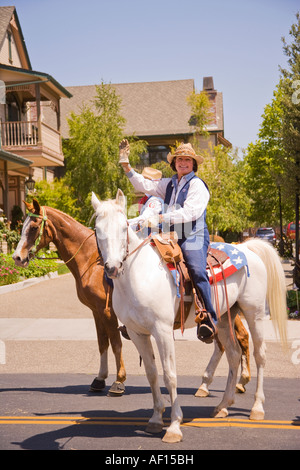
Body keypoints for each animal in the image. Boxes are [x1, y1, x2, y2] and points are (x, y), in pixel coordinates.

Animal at [12, 197, 125, 392]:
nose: (17, 257)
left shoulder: (108, 311)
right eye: (22, 225)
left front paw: (119, 381)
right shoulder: (97, 311)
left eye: (33, 227)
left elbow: (116, 343)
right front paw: (100, 378)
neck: (92, 260)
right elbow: (102, 342)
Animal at [92, 189, 288, 442]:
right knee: (233, 354)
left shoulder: (163, 331)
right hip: (223, 318)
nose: (113, 268)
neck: (137, 275)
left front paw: (174, 426)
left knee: (260, 355)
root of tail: (247, 248)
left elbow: (170, 375)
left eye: (124, 227)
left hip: (254, 313)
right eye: (97, 229)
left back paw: (257, 408)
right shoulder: (137, 333)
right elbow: (152, 373)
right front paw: (156, 419)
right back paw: (223, 405)